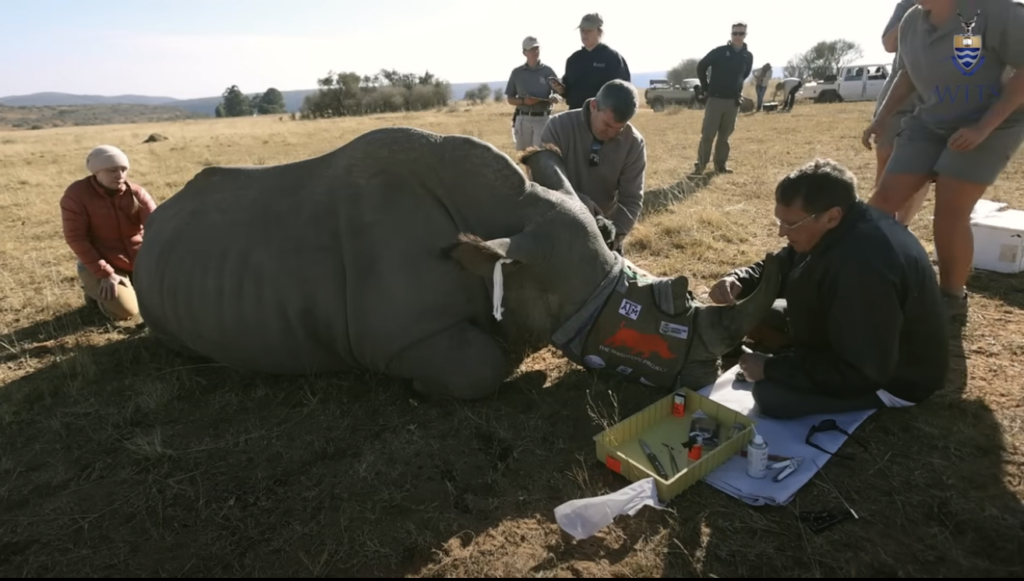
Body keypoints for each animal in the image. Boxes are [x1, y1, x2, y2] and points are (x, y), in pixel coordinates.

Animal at [133, 126, 781, 399]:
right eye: (643, 321)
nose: (711, 372)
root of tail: (156, 223)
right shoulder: (394, 337)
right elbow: (480, 366)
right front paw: (424, 388)